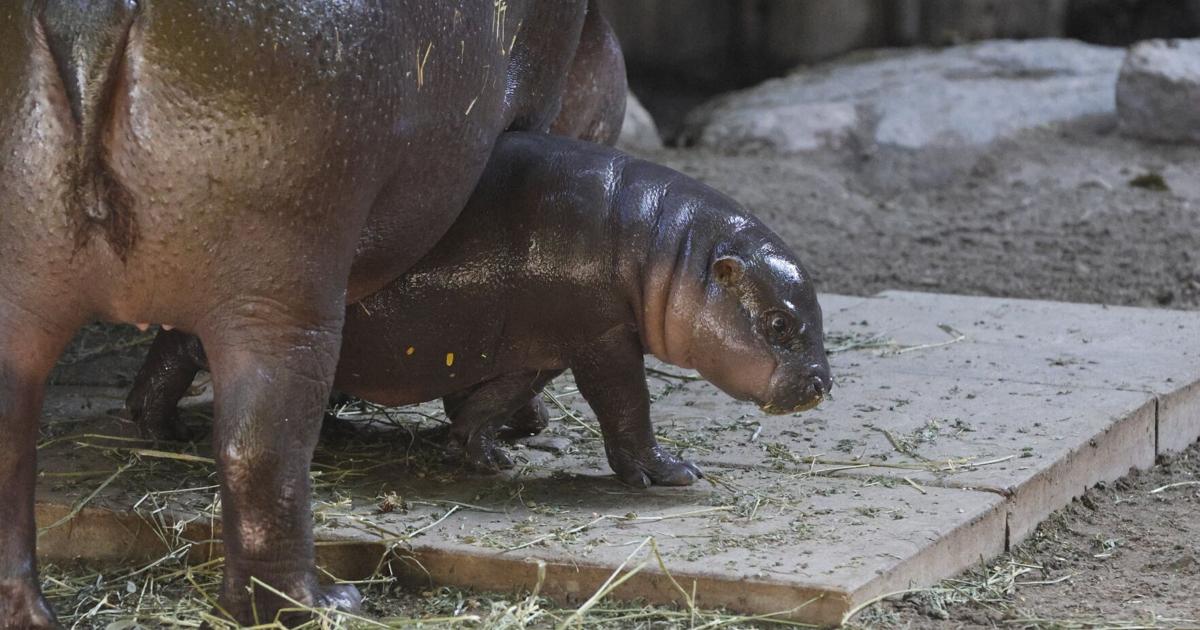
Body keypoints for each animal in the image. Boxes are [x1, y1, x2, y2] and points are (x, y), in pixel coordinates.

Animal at [0, 1, 619, 625]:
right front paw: (510, 420)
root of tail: (86, 19)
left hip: (25, 299)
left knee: (11, 450)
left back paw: (33, 614)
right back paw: (321, 602)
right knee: (260, 450)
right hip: (282, 299)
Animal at [127, 132, 833, 488]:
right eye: (779, 324)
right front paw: (674, 473)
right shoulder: (605, 337)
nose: (824, 383)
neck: (669, 248)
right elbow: (626, 407)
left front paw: (485, 454)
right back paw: (162, 431)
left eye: (816, 314)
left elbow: (494, 399)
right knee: (173, 353)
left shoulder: (539, 347)